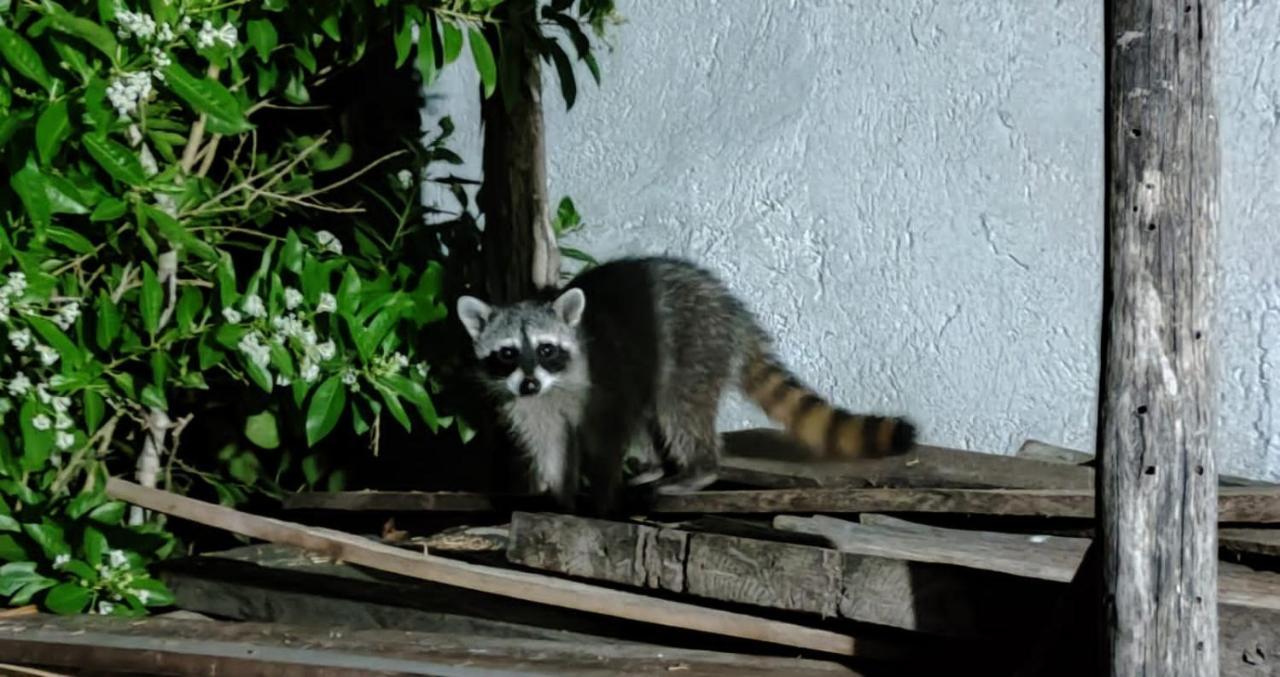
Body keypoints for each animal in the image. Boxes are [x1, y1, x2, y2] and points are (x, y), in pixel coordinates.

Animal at [455, 255, 916, 514]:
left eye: (547, 349)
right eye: (507, 353)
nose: (530, 382)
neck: (553, 386)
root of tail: (732, 313)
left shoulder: (600, 379)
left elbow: (607, 438)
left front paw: (600, 495)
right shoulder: (529, 403)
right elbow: (550, 442)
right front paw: (561, 496)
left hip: (693, 343)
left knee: (677, 405)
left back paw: (697, 468)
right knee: (652, 415)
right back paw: (661, 464)